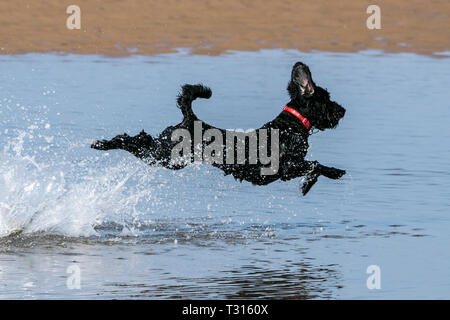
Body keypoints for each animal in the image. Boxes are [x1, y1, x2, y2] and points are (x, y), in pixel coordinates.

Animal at [90, 61, 344, 194]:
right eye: (328, 99)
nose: (342, 110)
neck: (290, 126)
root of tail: (189, 118)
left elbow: (314, 165)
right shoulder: (286, 167)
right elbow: (315, 164)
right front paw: (327, 175)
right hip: (166, 156)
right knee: (136, 139)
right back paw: (103, 143)